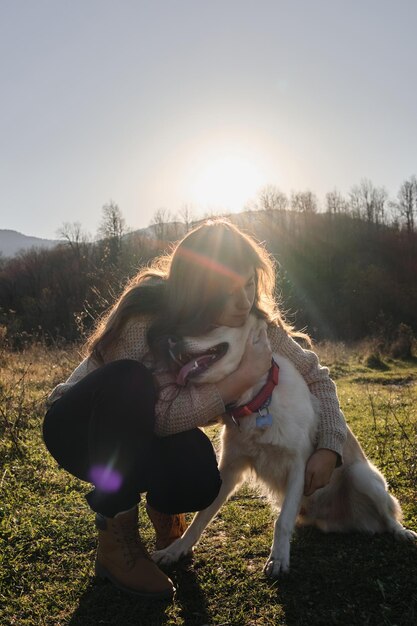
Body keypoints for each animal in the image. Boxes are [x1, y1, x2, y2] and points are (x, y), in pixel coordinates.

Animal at [154, 312, 416, 576]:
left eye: (207, 322)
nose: (168, 340)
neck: (258, 401)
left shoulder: (299, 468)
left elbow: (281, 522)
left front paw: (278, 559)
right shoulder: (229, 470)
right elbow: (201, 518)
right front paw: (175, 550)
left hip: (362, 476)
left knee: (389, 517)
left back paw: (401, 532)